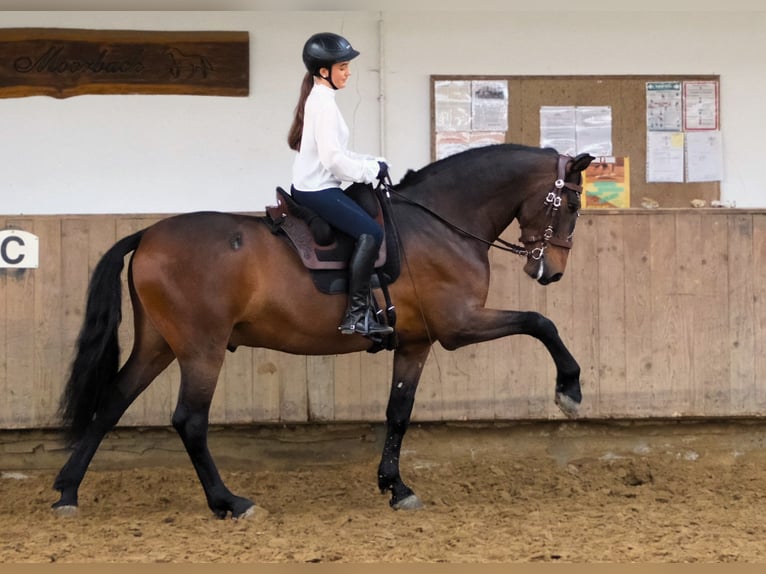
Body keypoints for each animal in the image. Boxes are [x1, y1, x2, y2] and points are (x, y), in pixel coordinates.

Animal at [51, 143, 594, 518]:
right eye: (571, 207)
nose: (552, 272)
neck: (440, 224)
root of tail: (147, 234)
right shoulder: (458, 325)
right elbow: (540, 321)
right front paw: (569, 388)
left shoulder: (416, 343)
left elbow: (398, 414)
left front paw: (396, 487)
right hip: (202, 349)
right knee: (189, 421)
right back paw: (230, 502)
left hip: (158, 344)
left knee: (112, 402)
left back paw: (67, 491)